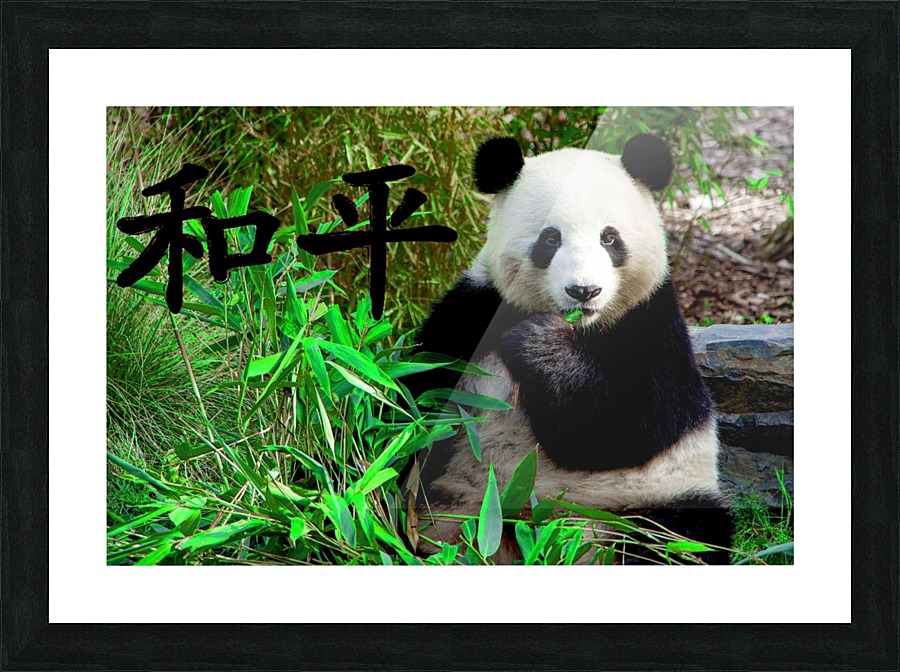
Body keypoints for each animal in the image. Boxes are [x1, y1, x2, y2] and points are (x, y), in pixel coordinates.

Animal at [403, 135, 732, 564]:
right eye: (550, 238)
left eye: (609, 238)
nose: (583, 291)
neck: (583, 328)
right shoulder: (475, 312)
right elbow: (414, 396)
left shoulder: (651, 325)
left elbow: (630, 424)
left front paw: (539, 343)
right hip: (449, 505)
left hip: (652, 498)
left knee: (682, 537)